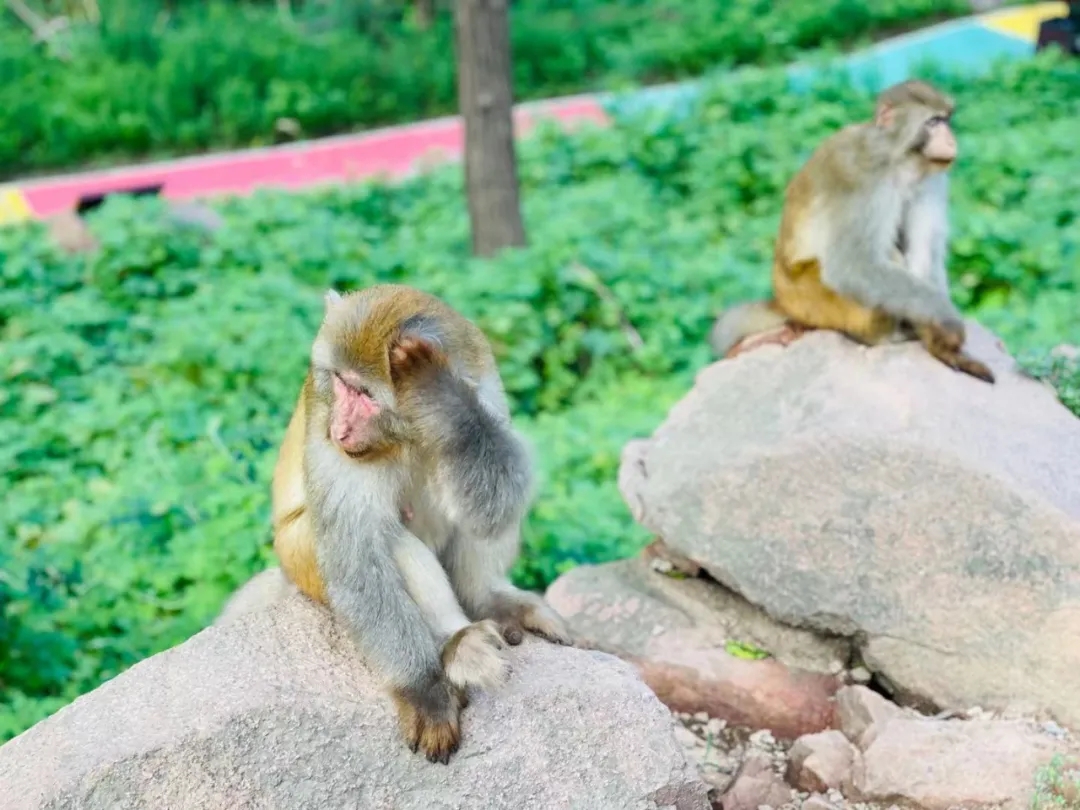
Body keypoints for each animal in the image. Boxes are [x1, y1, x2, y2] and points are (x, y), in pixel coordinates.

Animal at [268, 285, 570, 768]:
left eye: (366, 395)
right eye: (341, 383)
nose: (340, 427)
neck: (404, 433)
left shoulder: (484, 385)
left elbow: (500, 497)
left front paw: (435, 389)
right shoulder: (327, 429)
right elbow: (359, 561)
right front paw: (424, 691)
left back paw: (488, 602)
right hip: (299, 560)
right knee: (387, 540)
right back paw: (455, 643)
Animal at [708, 79, 993, 384]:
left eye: (946, 120)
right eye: (933, 122)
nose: (951, 140)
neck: (896, 159)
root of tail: (781, 298)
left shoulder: (931, 180)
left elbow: (925, 250)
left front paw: (940, 342)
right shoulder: (859, 176)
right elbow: (853, 266)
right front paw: (946, 320)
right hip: (812, 300)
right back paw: (881, 336)